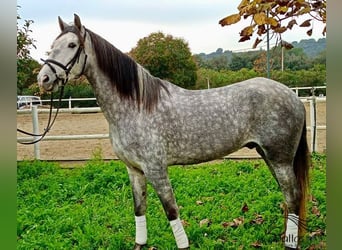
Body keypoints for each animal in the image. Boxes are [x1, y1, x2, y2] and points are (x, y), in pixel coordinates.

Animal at [37, 14, 310, 250]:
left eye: (72, 44)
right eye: (52, 45)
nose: (44, 79)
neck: (136, 106)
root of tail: (293, 97)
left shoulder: (156, 169)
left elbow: (171, 210)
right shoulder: (134, 170)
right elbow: (139, 209)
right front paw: (140, 244)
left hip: (279, 158)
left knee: (293, 196)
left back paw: (290, 243)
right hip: (269, 156)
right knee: (289, 197)